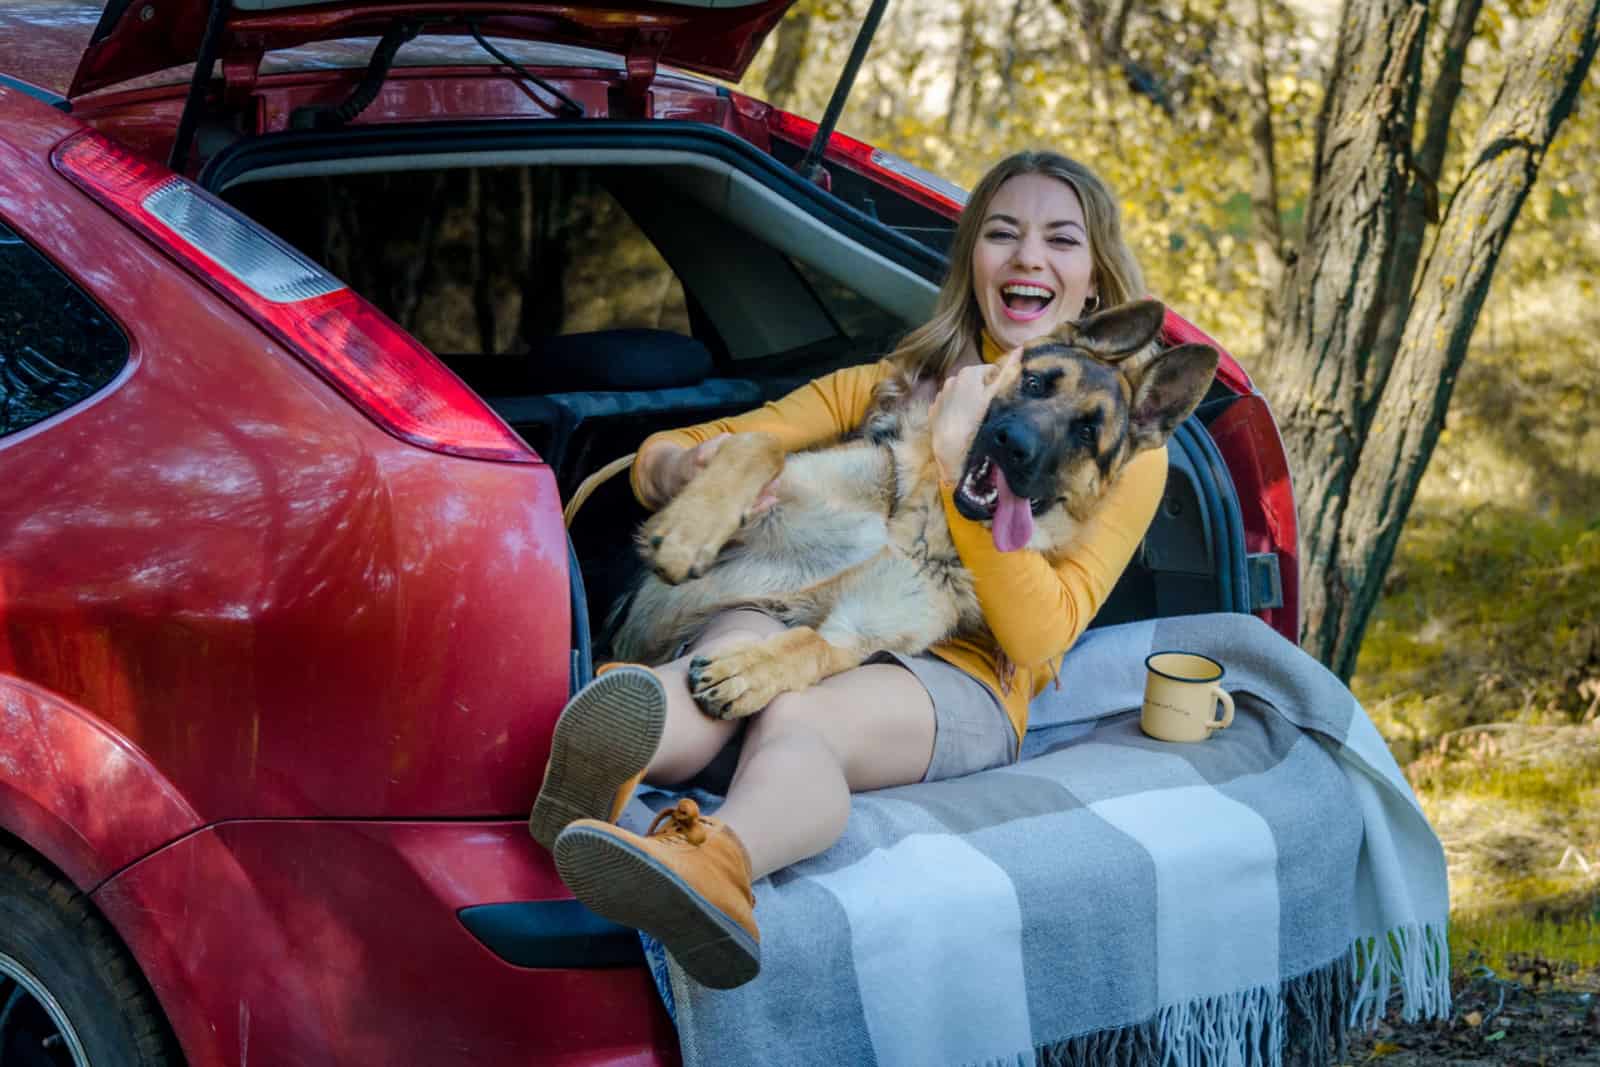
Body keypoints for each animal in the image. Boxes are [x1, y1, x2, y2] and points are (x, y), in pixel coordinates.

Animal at [608, 295, 1209, 723]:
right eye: (1036, 383)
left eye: (1087, 431)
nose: (1013, 445)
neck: (924, 525)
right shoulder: (780, 486)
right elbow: (759, 444)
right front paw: (687, 533)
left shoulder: (853, 633)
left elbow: (808, 644)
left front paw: (748, 672)